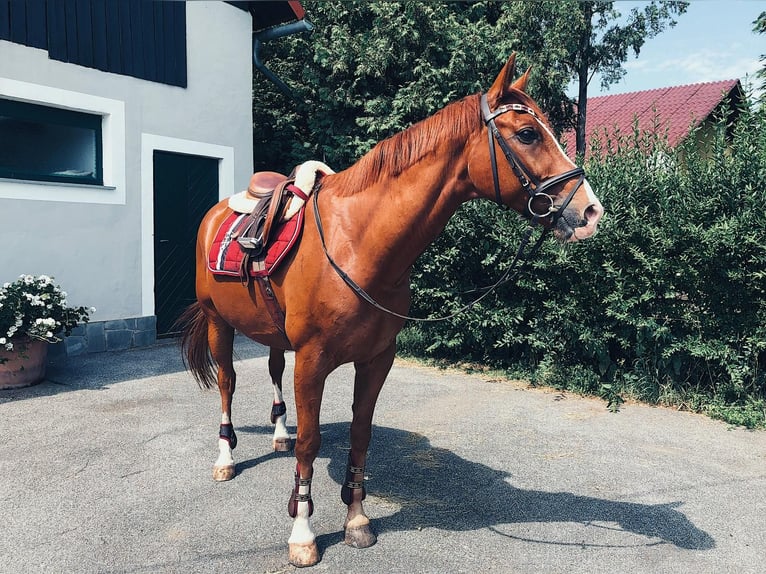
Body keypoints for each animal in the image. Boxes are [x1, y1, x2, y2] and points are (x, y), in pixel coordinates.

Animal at [182, 56, 608, 568]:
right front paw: (303, 534)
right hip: (218, 323)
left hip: (272, 334)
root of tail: (215, 213)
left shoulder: (376, 359)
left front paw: (357, 521)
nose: (590, 212)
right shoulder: (313, 362)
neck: (358, 242)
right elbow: (311, 442)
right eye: (527, 133)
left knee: (273, 371)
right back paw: (226, 459)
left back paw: (279, 431)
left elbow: (360, 435)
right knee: (227, 382)